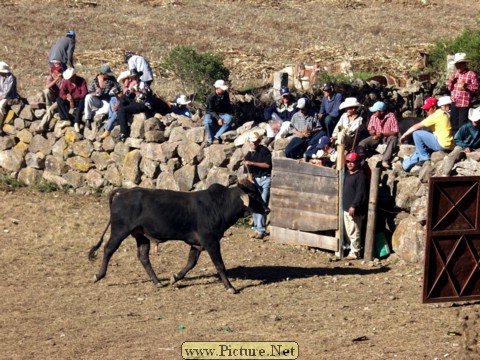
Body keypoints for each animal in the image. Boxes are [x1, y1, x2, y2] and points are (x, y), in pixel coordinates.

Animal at [89, 179, 270, 294]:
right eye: (253, 195)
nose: (267, 210)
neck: (219, 205)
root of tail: (123, 191)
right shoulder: (210, 241)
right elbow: (219, 265)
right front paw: (230, 287)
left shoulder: (197, 244)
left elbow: (191, 263)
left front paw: (174, 278)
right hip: (120, 230)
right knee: (108, 249)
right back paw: (98, 275)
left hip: (141, 235)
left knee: (143, 256)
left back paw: (157, 282)